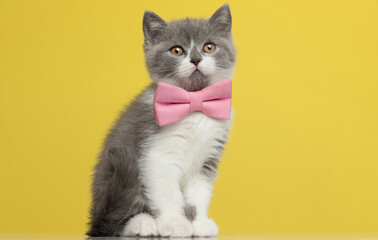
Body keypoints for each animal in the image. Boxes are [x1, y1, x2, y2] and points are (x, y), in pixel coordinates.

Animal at [88, 4, 236, 238]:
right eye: (176, 50)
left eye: (209, 47)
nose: (196, 59)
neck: (194, 103)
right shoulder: (156, 152)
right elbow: (167, 191)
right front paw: (175, 223)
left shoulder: (208, 157)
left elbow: (199, 193)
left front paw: (199, 223)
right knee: (114, 220)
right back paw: (141, 223)